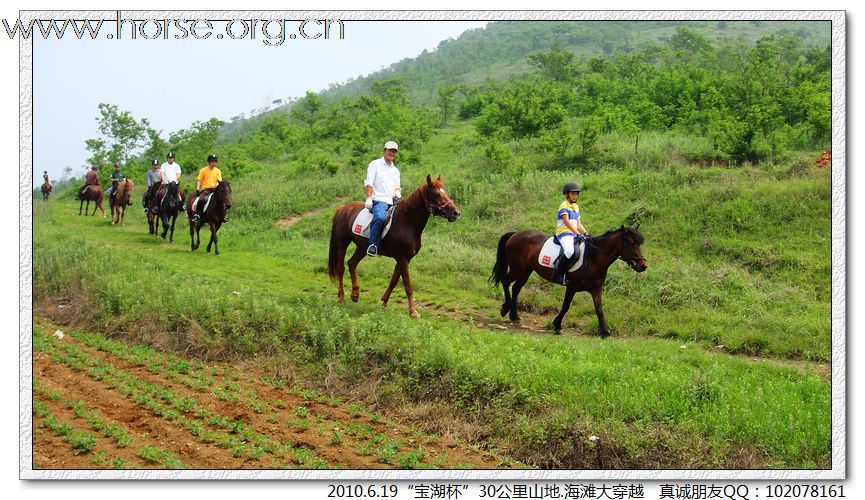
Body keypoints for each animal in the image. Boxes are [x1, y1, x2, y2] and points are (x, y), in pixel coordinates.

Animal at [326, 174, 460, 318]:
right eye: (436, 194)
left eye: (445, 192)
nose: (456, 213)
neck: (406, 221)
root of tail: (342, 208)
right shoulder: (403, 259)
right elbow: (407, 285)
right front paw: (413, 312)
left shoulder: (404, 259)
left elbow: (393, 281)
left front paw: (384, 304)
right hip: (342, 243)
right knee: (341, 268)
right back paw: (342, 297)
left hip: (362, 247)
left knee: (352, 263)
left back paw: (355, 294)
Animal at [490, 226, 644, 336]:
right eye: (630, 243)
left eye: (639, 244)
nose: (643, 265)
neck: (593, 258)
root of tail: (516, 234)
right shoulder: (572, 287)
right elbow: (565, 306)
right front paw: (557, 325)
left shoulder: (596, 289)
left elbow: (599, 310)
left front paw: (604, 332)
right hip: (518, 268)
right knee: (505, 281)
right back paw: (505, 308)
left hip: (526, 270)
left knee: (516, 288)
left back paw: (514, 316)